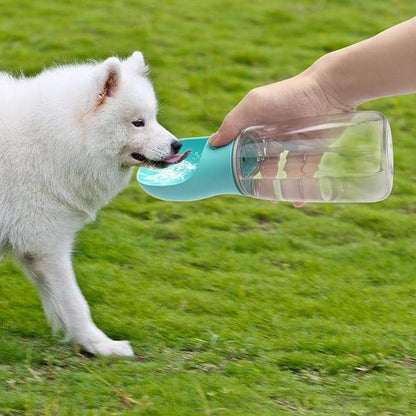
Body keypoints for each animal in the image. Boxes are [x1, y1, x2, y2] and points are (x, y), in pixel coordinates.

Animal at [0, 52, 185, 356]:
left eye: (153, 118)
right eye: (138, 123)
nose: (177, 145)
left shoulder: (37, 247)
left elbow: (61, 304)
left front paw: (84, 341)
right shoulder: (46, 246)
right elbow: (75, 302)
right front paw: (100, 345)